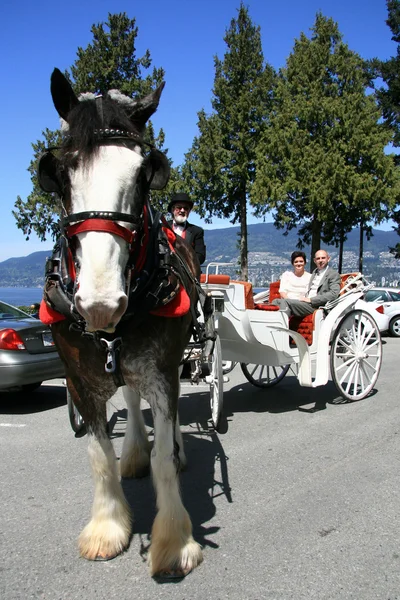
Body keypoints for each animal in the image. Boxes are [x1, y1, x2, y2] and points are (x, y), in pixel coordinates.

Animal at [37, 68, 203, 580]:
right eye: (62, 173)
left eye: (142, 174)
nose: (101, 302)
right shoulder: (78, 377)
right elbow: (97, 455)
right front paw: (107, 527)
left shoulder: (165, 370)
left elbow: (164, 456)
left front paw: (174, 541)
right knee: (129, 396)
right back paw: (132, 454)